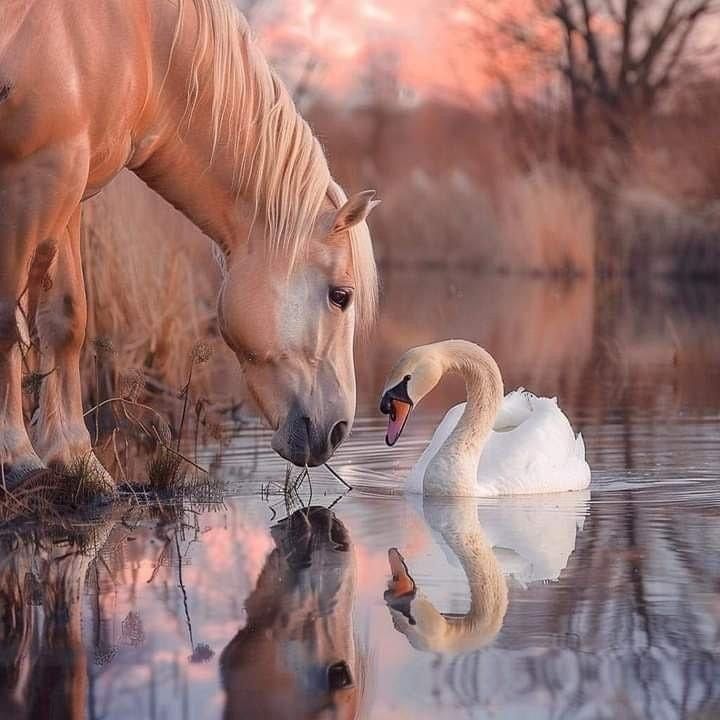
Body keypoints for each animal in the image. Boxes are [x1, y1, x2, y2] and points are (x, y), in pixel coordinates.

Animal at [0, 0, 380, 492]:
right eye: (341, 296)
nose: (337, 431)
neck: (135, 39)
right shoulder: (35, 172)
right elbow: (7, 322)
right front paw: (18, 457)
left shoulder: (70, 183)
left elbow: (66, 318)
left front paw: (76, 459)